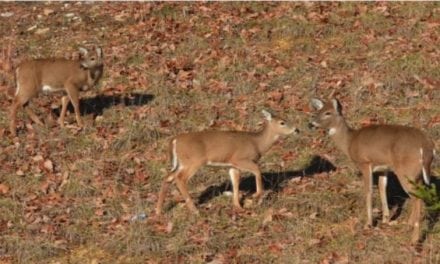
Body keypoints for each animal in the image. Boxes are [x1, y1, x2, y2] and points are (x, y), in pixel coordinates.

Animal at [155, 109, 300, 214]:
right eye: (282, 122)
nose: (297, 130)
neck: (257, 144)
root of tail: (174, 141)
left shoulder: (232, 165)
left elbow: (235, 182)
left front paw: (238, 207)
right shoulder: (241, 159)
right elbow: (258, 170)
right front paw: (256, 196)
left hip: (180, 163)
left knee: (168, 177)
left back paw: (158, 211)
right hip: (193, 161)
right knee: (179, 179)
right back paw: (195, 210)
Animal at [308, 98, 434, 244]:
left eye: (328, 113)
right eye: (317, 111)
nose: (310, 123)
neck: (349, 142)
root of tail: (426, 147)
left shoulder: (365, 163)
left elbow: (368, 191)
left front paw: (368, 224)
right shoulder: (383, 168)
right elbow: (382, 188)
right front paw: (385, 220)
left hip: (406, 170)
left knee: (417, 197)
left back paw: (414, 239)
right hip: (416, 174)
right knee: (420, 194)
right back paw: (409, 225)